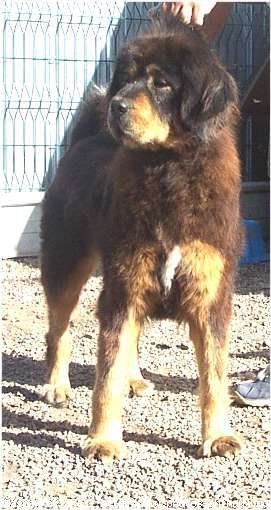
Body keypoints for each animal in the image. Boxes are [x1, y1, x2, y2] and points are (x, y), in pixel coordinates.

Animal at [40, 11, 244, 460]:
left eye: (161, 83)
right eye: (128, 79)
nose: (116, 105)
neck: (168, 168)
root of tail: (85, 140)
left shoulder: (209, 297)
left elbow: (215, 377)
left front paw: (218, 435)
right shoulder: (124, 287)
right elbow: (105, 378)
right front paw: (103, 438)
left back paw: (133, 377)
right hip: (66, 267)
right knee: (59, 332)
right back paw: (57, 385)